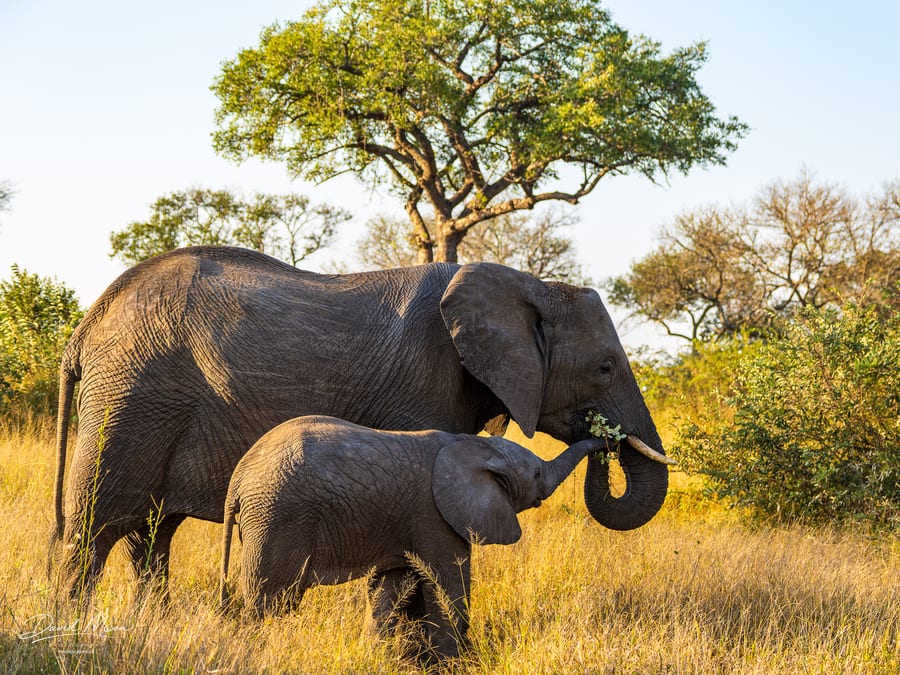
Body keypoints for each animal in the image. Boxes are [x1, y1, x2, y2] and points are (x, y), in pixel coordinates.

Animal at [52, 245, 672, 602]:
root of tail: (86, 325)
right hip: (130, 397)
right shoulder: (422, 379)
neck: (527, 284)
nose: (606, 439)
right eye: (605, 367)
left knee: (151, 533)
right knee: (94, 529)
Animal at [219, 415, 608, 659]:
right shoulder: (434, 516)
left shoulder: (404, 523)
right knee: (272, 599)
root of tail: (238, 476)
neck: (471, 446)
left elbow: (392, 586)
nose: (606, 438)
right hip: (278, 516)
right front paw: (455, 662)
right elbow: (449, 582)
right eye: (538, 473)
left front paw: (377, 655)